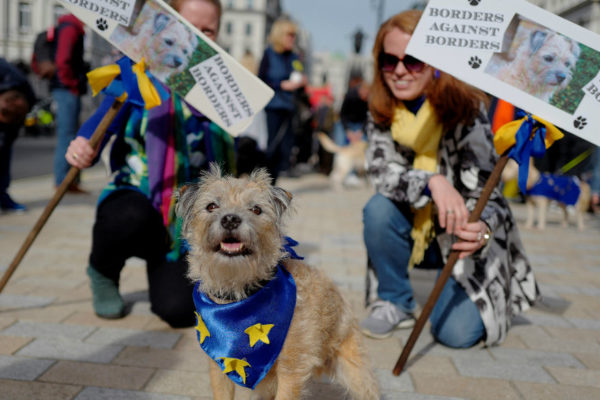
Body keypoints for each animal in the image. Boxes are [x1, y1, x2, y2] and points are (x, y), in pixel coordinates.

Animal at [176, 165, 378, 400]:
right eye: (211, 206)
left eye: (256, 209)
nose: (230, 219)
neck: (239, 295)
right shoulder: (219, 365)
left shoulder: (291, 369)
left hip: (352, 366)